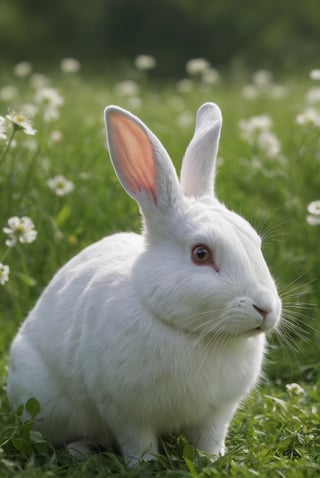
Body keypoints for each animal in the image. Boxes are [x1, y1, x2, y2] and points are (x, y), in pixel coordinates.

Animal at [6, 102, 282, 464]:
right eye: (201, 254)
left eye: (257, 244)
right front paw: (145, 464)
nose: (265, 309)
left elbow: (209, 439)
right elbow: (137, 441)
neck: (196, 334)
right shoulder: (123, 410)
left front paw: (212, 460)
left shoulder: (217, 414)